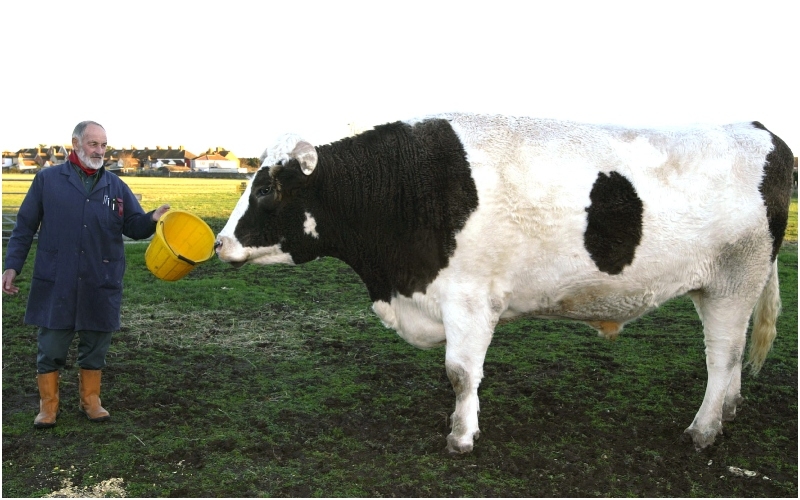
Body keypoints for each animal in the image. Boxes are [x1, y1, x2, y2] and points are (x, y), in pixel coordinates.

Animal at [214, 113, 792, 454]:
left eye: (265, 189)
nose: (218, 244)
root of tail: (758, 128)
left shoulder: (469, 298)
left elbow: (460, 373)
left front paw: (461, 436)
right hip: (728, 287)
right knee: (732, 358)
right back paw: (728, 413)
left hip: (734, 280)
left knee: (721, 356)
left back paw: (704, 430)